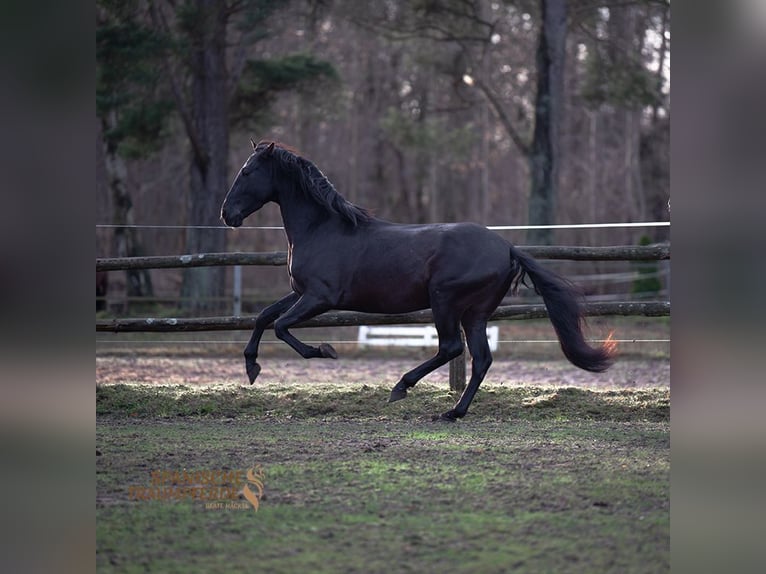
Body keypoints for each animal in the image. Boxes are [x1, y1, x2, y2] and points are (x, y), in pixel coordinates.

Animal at [222, 142, 616, 420]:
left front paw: (324, 351)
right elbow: (264, 317)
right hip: (476, 312)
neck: (322, 228)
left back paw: (402, 387)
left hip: (445, 301)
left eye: (246, 171)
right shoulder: (300, 293)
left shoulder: (320, 297)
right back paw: (453, 412)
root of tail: (507, 248)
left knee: (451, 348)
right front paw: (252, 368)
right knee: (481, 358)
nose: (227, 215)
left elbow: (281, 327)